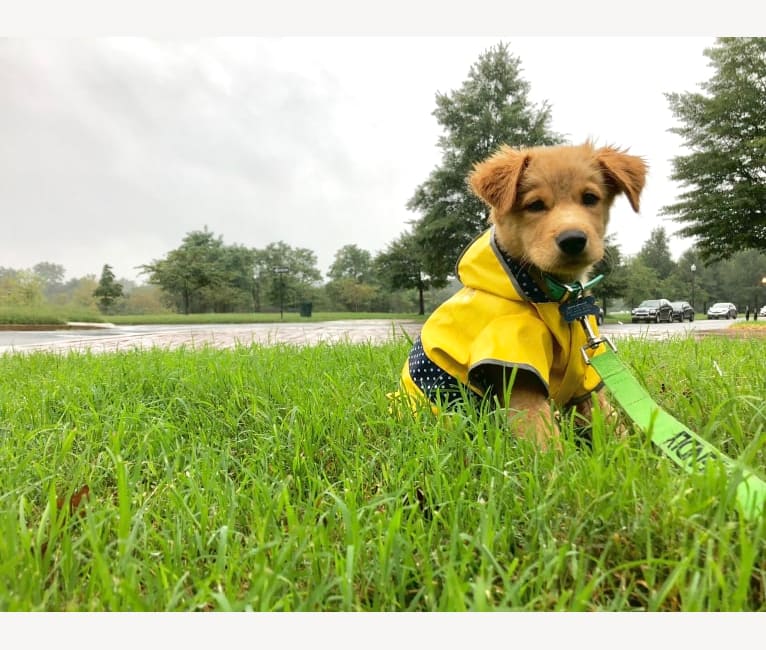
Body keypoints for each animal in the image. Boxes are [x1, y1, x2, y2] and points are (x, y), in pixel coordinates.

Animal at [402, 140, 648, 446]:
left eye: (590, 198)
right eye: (535, 205)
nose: (573, 240)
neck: (554, 298)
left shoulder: (586, 376)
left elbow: (611, 423)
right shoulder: (517, 367)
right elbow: (547, 443)